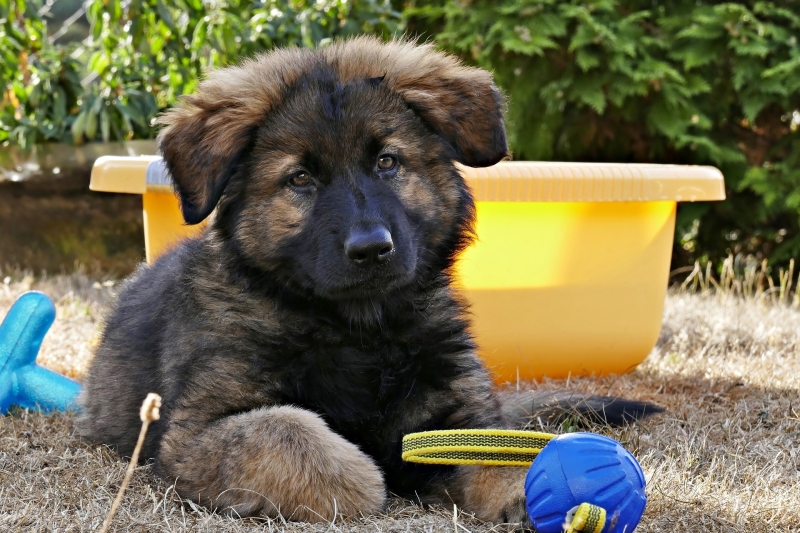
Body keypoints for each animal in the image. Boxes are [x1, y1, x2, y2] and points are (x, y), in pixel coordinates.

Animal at [78, 38, 660, 528]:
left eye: (386, 161)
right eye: (300, 178)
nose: (371, 249)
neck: (358, 329)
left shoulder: (455, 410)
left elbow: (500, 445)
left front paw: (532, 488)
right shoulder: (192, 432)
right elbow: (285, 430)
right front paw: (362, 480)